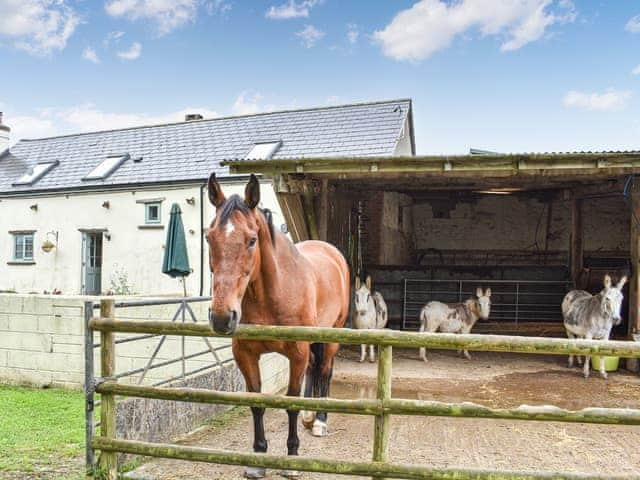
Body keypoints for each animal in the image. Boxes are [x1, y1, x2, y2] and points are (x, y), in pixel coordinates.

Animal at [206, 172, 350, 476]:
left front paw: (291, 458)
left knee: (325, 371)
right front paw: (258, 458)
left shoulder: (296, 352)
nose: (222, 317)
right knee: (314, 369)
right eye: (208, 237)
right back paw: (309, 416)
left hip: (332, 335)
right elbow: (257, 403)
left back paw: (320, 420)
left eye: (251, 240)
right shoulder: (246, 355)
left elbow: (290, 403)